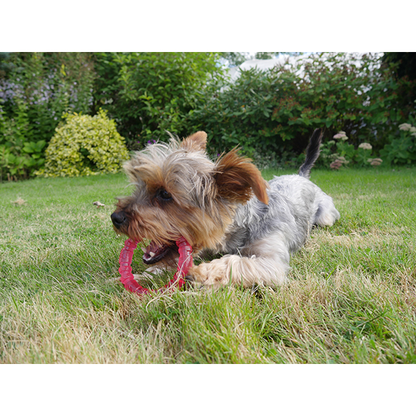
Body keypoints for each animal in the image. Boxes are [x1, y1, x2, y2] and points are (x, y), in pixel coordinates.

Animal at [111, 130, 342, 290]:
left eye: (165, 194)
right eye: (140, 186)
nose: (116, 217)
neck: (240, 227)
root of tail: (301, 175)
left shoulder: (271, 261)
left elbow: (235, 262)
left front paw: (202, 272)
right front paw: (139, 276)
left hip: (326, 216)